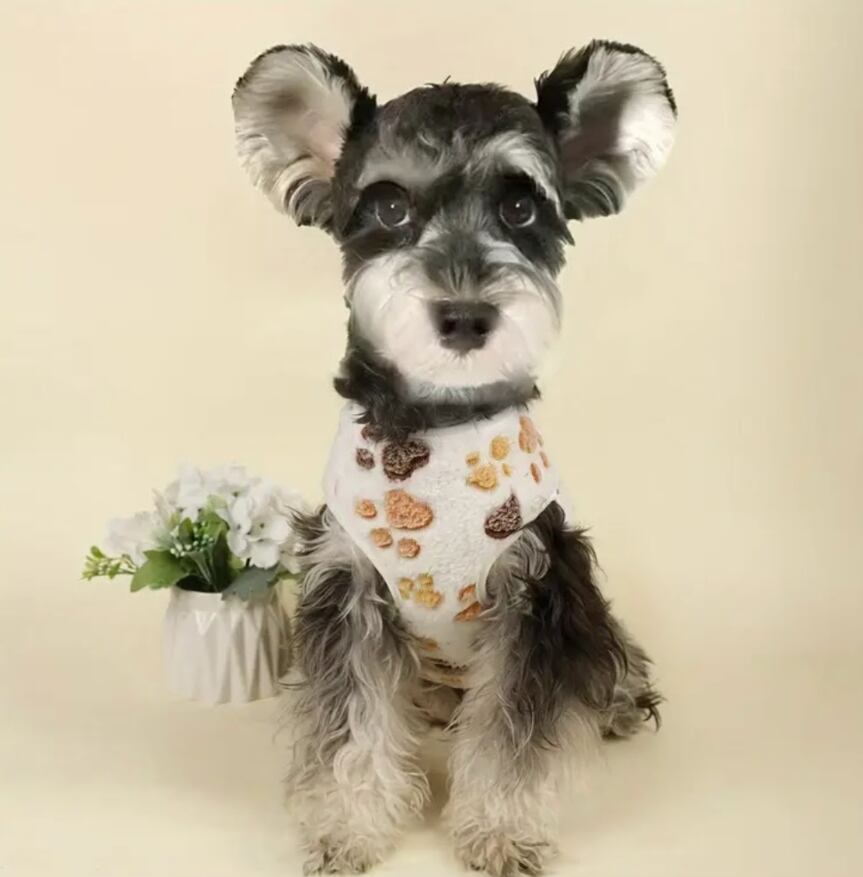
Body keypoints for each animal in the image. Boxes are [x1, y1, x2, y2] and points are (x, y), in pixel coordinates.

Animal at [232, 39, 676, 875]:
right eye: (389, 207)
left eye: (520, 208)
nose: (466, 315)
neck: (435, 427)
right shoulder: (347, 585)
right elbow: (350, 728)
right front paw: (346, 825)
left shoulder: (536, 587)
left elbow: (511, 736)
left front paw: (500, 829)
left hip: (587, 609)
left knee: (603, 656)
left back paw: (619, 697)